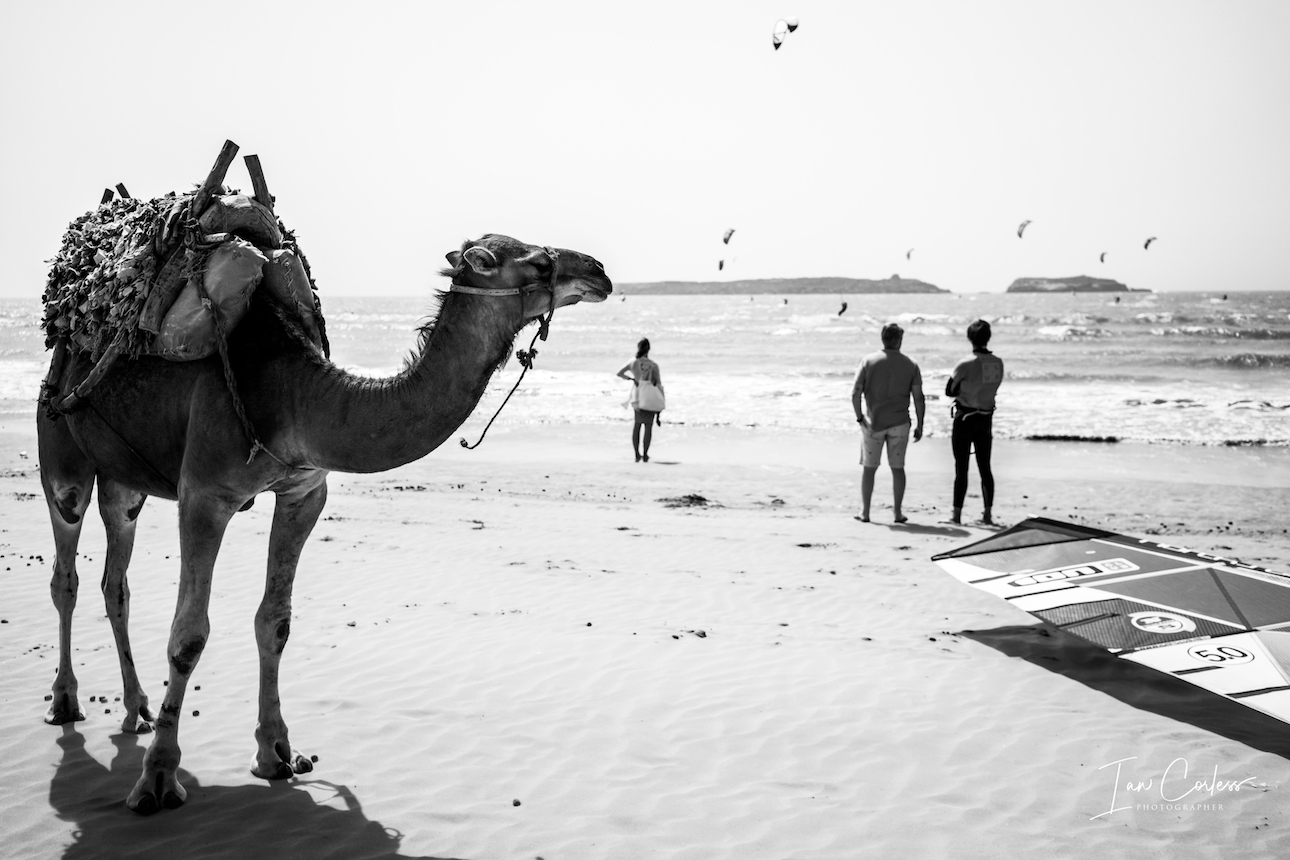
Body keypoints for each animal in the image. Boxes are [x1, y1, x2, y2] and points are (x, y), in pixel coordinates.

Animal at [38, 233, 612, 814]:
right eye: (536, 263)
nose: (600, 271)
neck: (293, 398)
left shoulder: (303, 493)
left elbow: (275, 622)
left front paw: (276, 754)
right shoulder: (204, 495)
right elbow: (188, 636)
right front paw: (157, 779)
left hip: (124, 482)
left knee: (116, 579)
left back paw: (137, 708)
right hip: (61, 449)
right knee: (67, 569)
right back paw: (66, 703)